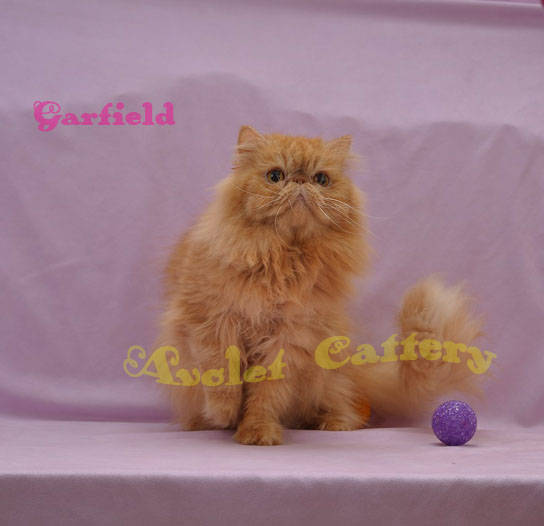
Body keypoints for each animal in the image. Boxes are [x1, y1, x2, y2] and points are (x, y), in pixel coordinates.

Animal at [156, 126, 482, 445]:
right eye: (275, 176)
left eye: (321, 179)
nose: (300, 180)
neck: (283, 259)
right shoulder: (210, 321)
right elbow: (222, 377)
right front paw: (223, 414)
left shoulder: (288, 339)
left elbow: (265, 395)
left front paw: (257, 431)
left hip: (328, 374)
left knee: (343, 405)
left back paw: (332, 423)